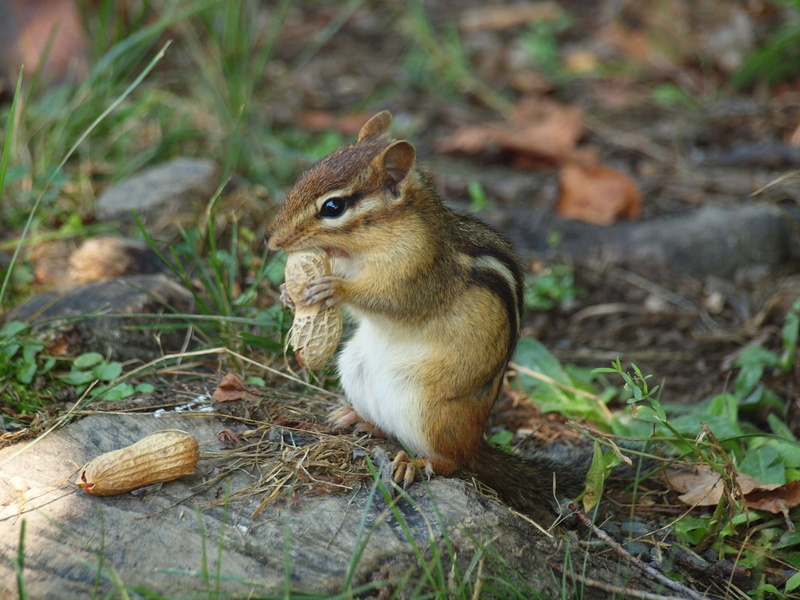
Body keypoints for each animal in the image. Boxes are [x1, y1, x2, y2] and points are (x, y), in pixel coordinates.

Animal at [267, 111, 586, 514]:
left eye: (333, 207)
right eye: (305, 175)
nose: (270, 239)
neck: (366, 248)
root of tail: (475, 443)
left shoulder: (419, 273)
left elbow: (391, 300)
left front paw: (334, 289)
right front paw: (288, 295)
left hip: (429, 409)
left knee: (450, 462)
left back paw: (414, 464)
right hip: (354, 370)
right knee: (389, 428)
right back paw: (356, 418)